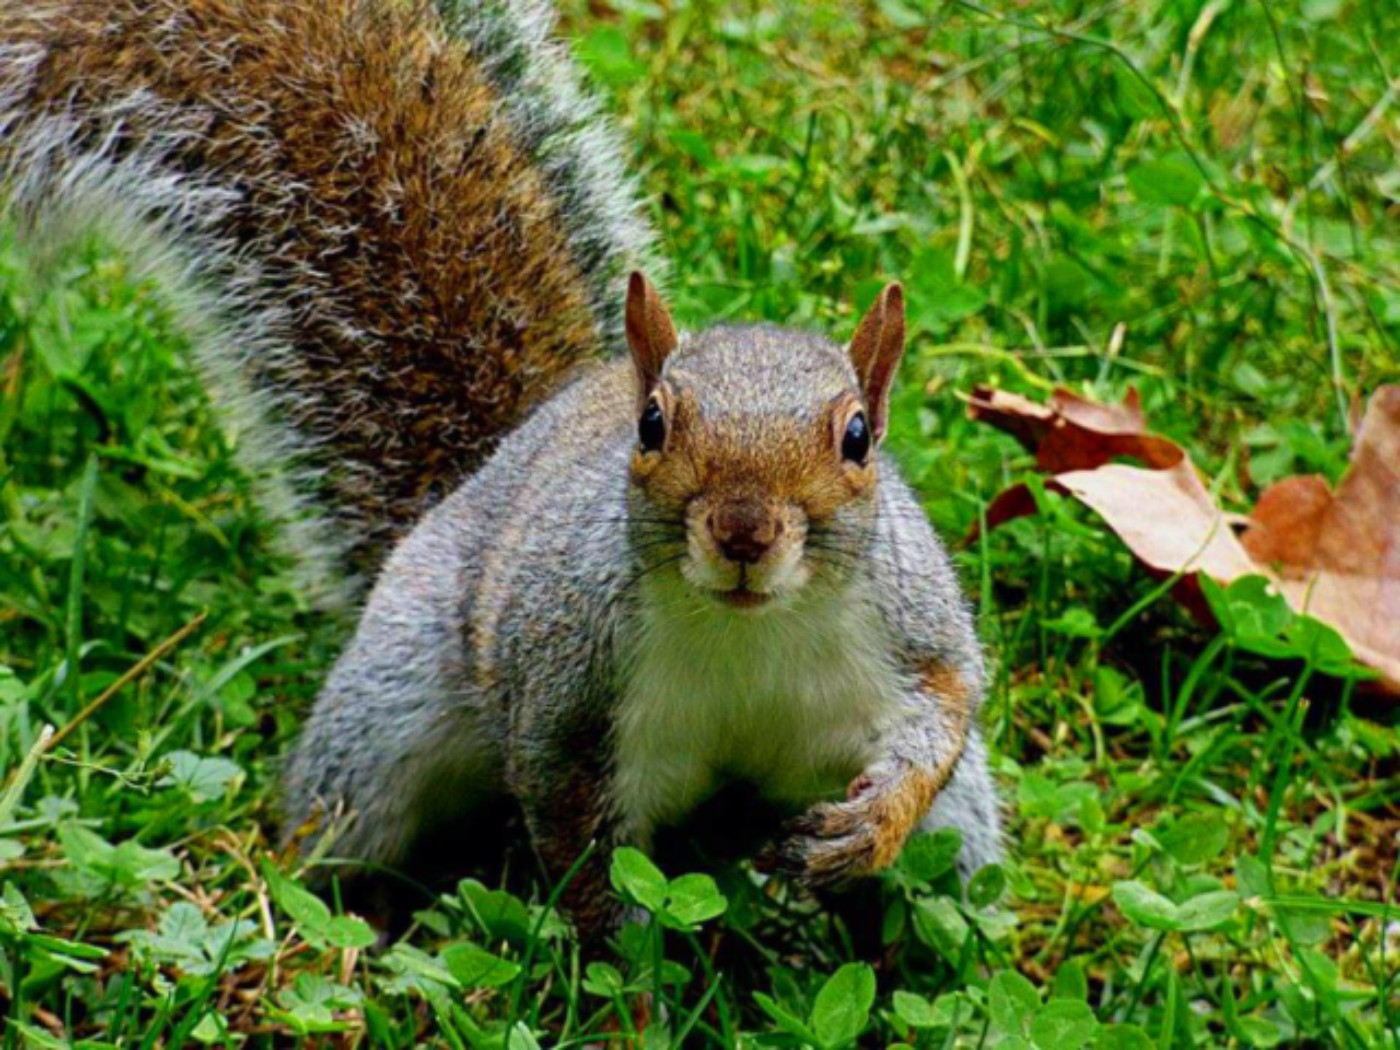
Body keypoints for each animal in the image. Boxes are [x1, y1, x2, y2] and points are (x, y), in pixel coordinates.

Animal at [1, 0, 1002, 944]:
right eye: (653, 424)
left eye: (858, 438)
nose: (744, 533)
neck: (747, 635)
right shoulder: (567, 697)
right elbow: (583, 854)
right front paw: (629, 988)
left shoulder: (912, 628)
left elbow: (946, 713)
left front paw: (871, 827)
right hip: (385, 716)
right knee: (341, 825)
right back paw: (354, 922)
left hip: (959, 830)